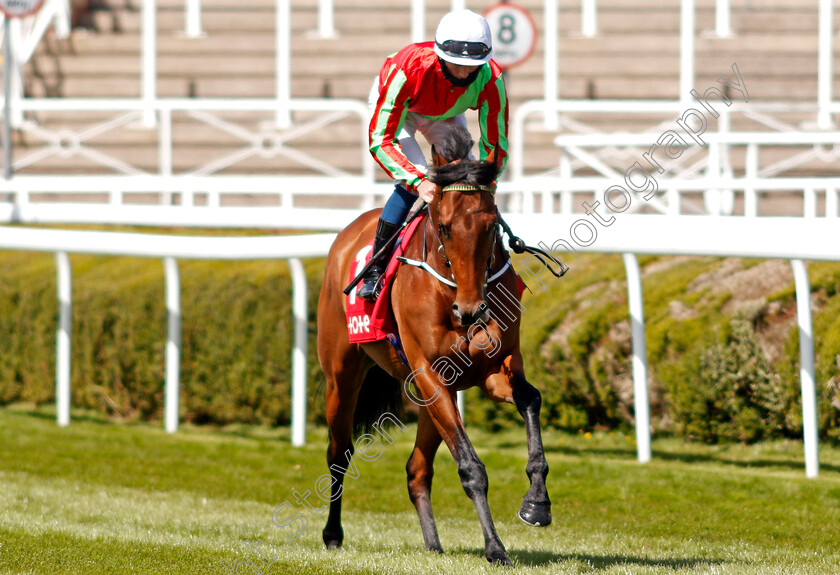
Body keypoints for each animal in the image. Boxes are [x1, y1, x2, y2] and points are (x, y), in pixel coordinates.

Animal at [316, 124, 552, 568]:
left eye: (491, 225)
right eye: (443, 226)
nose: (471, 310)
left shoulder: (493, 371)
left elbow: (531, 399)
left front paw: (536, 503)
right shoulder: (428, 372)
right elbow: (471, 468)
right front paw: (495, 548)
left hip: (428, 399)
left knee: (416, 469)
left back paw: (433, 544)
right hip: (342, 376)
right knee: (339, 454)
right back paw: (333, 534)